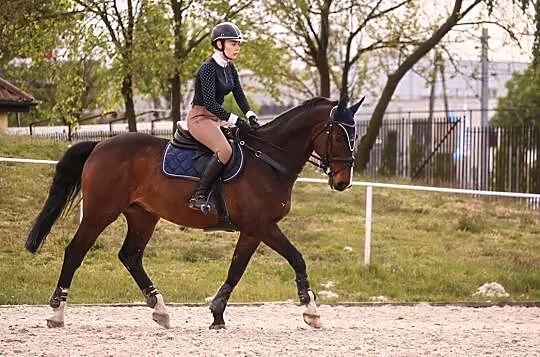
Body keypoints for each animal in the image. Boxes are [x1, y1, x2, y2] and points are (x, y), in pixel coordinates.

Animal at [25, 94, 362, 328]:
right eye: (338, 134)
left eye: (354, 134)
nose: (342, 181)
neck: (266, 159)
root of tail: (99, 145)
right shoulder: (263, 226)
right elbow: (297, 258)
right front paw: (311, 311)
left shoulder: (252, 231)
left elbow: (236, 269)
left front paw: (217, 314)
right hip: (100, 212)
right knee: (75, 251)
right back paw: (57, 313)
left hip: (142, 215)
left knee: (130, 256)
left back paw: (160, 310)